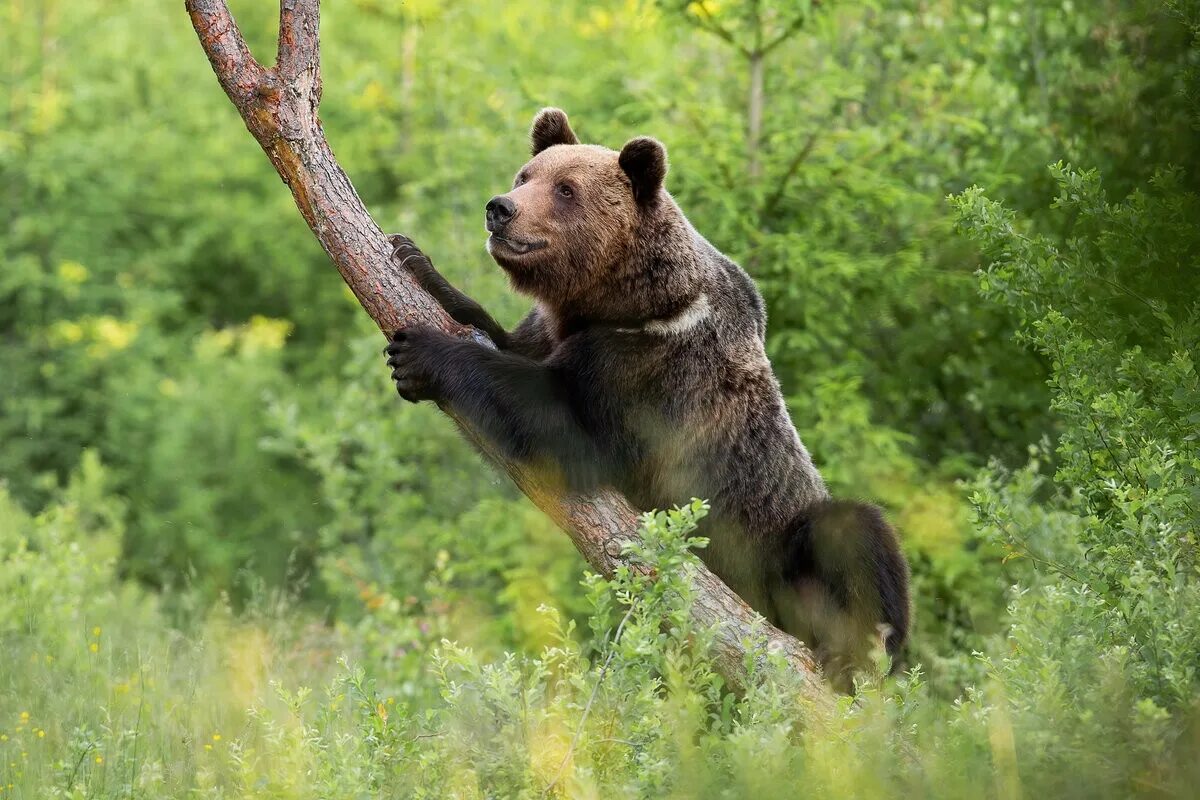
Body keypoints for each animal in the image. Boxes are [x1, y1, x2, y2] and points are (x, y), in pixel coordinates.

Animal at [386, 107, 907, 690]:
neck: (624, 302)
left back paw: (853, 656)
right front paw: (415, 261)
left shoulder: (653, 372)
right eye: (526, 175)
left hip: (776, 540)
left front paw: (422, 352)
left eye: (565, 190)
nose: (501, 209)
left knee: (854, 533)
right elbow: (503, 348)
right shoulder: (556, 331)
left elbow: (563, 429)